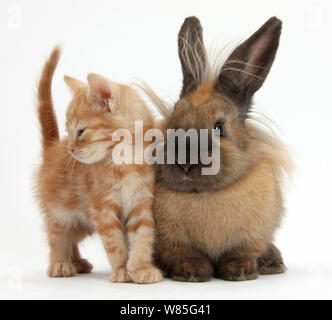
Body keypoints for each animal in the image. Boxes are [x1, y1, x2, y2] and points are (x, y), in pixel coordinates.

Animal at [35, 47, 162, 282]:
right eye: (69, 131)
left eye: (80, 132)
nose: (70, 149)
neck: (125, 161)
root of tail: (52, 149)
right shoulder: (102, 208)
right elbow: (114, 242)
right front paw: (122, 270)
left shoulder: (141, 201)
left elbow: (142, 236)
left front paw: (141, 268)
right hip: (59, 211)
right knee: (58, 236)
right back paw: (60, 263)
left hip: (81, 222)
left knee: (72, 238)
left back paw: (77, 262)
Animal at [152, 16, 292, 282]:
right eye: (173, 121)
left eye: (219, 128)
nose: (185, 163)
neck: (203, 194)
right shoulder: (171, 243)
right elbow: (184, 254)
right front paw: (192, 271)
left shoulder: (251, 238)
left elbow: (242, 252)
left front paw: (240, 271)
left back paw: (273, 262)